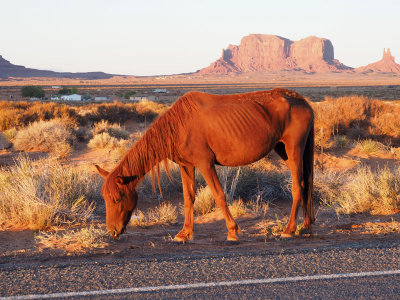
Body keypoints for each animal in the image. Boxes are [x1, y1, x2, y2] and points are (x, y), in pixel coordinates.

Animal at [95, 88, 314, 243]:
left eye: (116, 199)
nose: (112, 231)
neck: (178, 125)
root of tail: (303, 101)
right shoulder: (186, 166)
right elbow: (188, 198)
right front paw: (184, 234)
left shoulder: (205, 164)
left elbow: (219, 195)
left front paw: (232, 232)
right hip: (284, 151)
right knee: (305, 185)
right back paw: (306, 226)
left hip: (294, 150)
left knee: (297, 187)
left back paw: (289, 230)